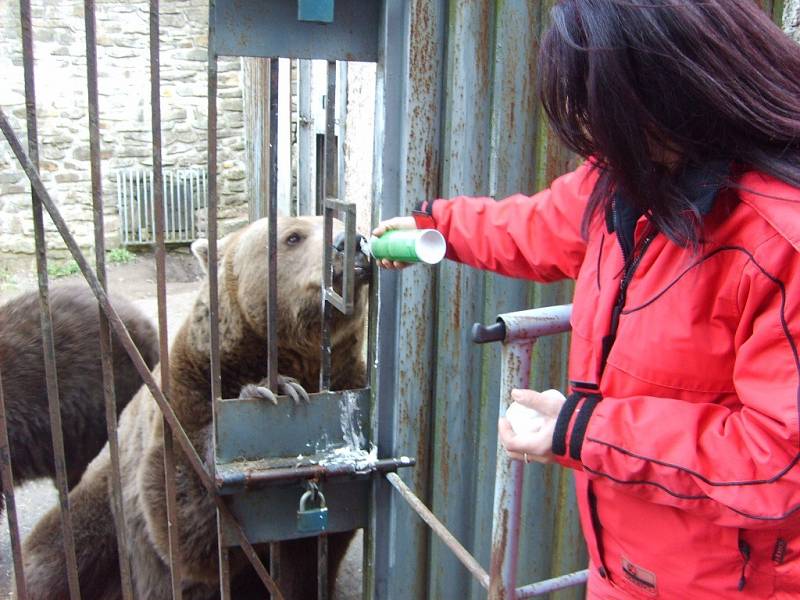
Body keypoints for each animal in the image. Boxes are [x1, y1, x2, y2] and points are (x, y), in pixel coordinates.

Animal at [22, 216, 372, 600]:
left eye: (343, 221)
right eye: (293, 236)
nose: (352, 241)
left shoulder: (348, 386)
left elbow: (311, 554)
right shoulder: (187, 389)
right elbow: (186, 527)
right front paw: (271, 389)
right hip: (106, 505)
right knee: (60, 549)